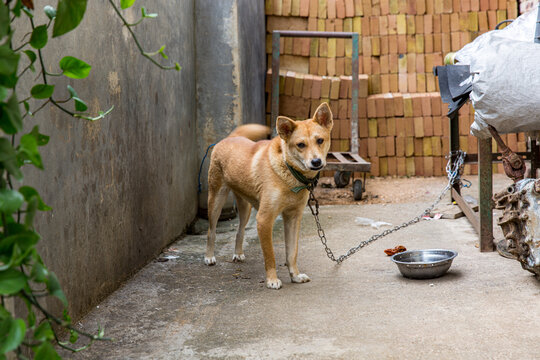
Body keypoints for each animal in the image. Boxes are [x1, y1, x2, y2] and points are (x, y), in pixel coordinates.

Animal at [205, 102, 334, 288]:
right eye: (301, 145)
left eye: (320, 140)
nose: (316, 162)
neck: (288, 173)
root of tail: (230, 137)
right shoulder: (264, 219)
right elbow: (270, 255)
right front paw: (272, 280)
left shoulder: (293, 218)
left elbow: (292, 253)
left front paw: (295, 276)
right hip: (215, 201)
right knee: (211, 230)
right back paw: (209, 257)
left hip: (245, 207)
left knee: (240, 230)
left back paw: (238, 253)